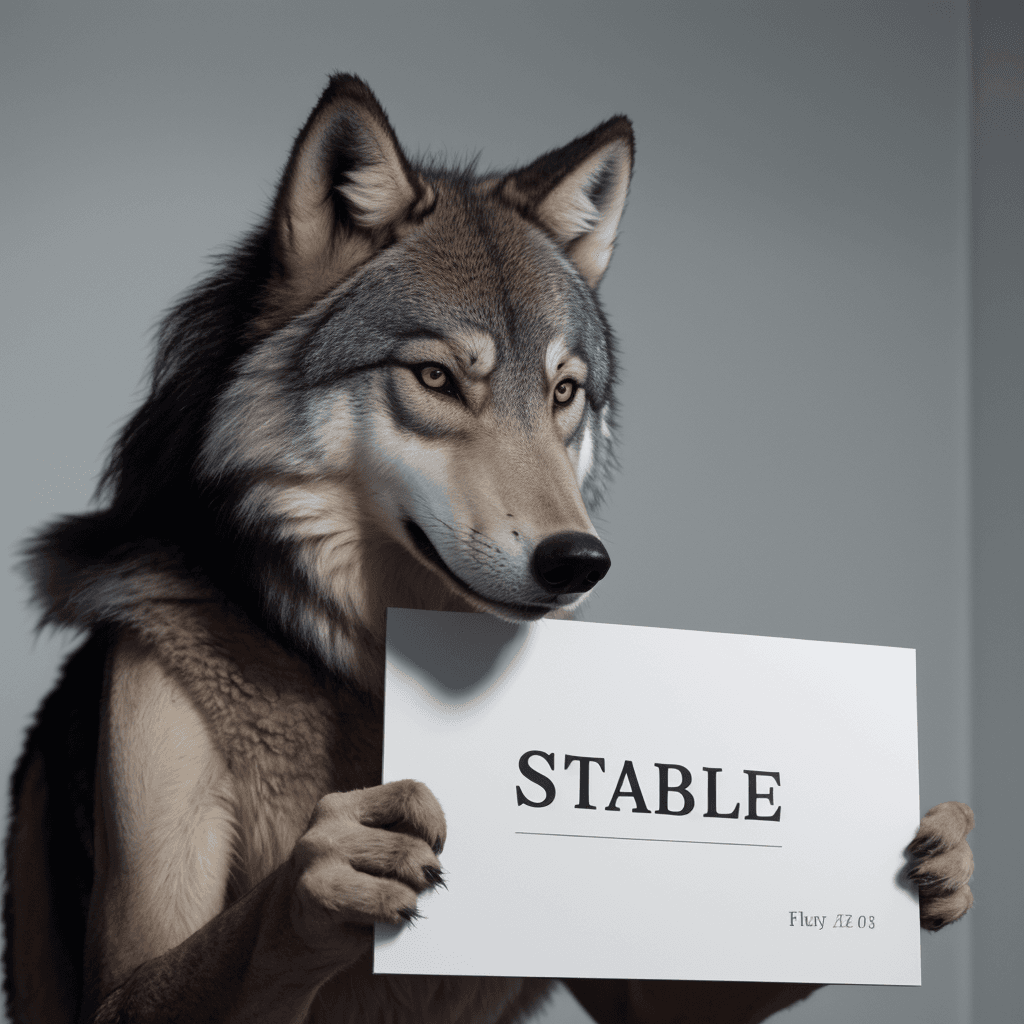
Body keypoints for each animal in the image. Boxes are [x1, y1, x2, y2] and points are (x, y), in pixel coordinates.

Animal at [5, 75, 974, 1024]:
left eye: (564, 392)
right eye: (436, 378)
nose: (580, 562)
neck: (364, 667)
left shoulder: (631, 989)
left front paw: (941, 854)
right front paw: (331, 870)